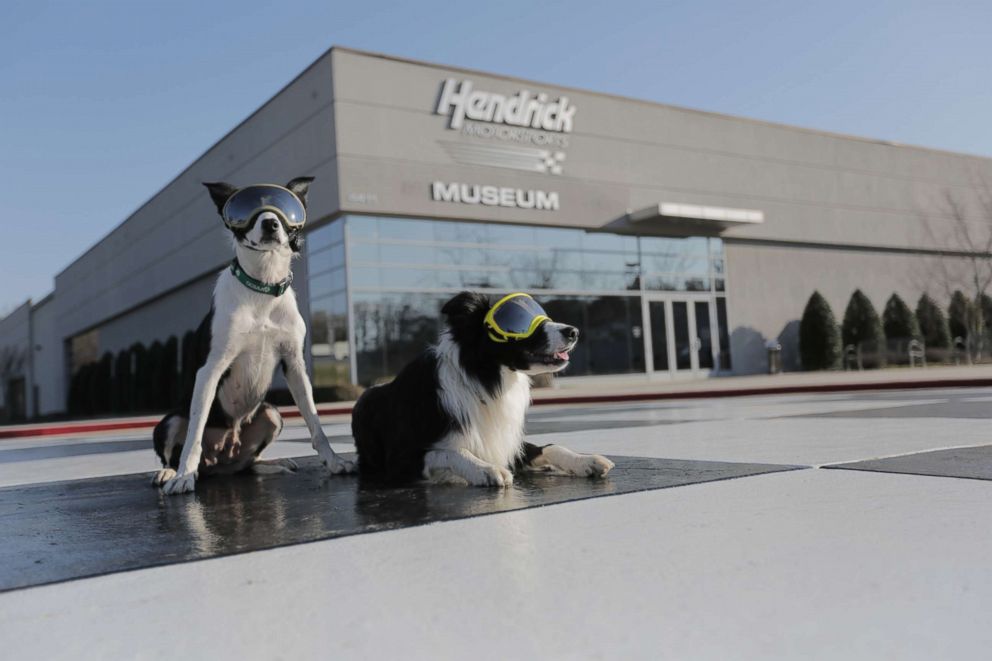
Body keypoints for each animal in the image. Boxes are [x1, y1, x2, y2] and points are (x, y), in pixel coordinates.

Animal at [151, 178, 356, 492]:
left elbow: (315, 422)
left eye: (285, 207)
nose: (270, 223)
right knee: (175, 448)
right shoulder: (210, 370)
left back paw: (272, 464)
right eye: (246, 208)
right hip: (170, 421)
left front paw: (334, 462)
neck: (263, 287)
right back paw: (170, 472)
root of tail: (219, 463)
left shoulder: (295, 366)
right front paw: (184, 475)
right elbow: (195, 432)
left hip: (271, 412)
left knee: (246, 464)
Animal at [348, 290, 612, 484]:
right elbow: (452, 451)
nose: (573, 331)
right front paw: (486, 469)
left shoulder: (509, 443)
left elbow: (550, 446)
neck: (485, 380)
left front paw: (586, 460)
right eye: (517, 321)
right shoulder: (400, 458)